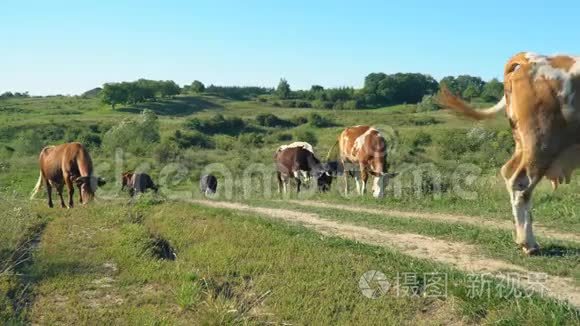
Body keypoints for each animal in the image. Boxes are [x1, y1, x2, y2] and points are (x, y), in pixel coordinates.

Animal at [440, 51, 580, 255]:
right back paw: (528, 243)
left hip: (524, 145)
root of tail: (531, 58)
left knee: (509, 173)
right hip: (540, 143)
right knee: (522, 184)